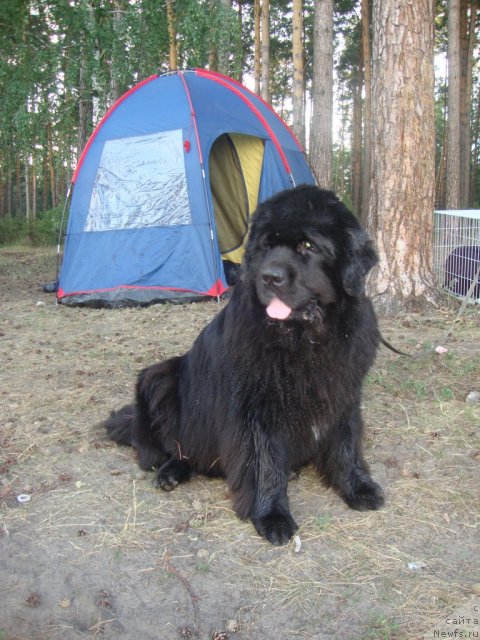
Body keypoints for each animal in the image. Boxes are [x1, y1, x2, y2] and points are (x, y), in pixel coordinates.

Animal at [104, 185, 382, 544]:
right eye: (266, 246)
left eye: (308, 246)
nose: (269, 276)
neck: (305, 340)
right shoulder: (257, 408)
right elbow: (264, 462)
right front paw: (272, 516)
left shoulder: (343, 391)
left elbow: (347, 442)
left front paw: (357, 487)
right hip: (161, 379)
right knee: (173, 446)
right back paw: (170, 472)